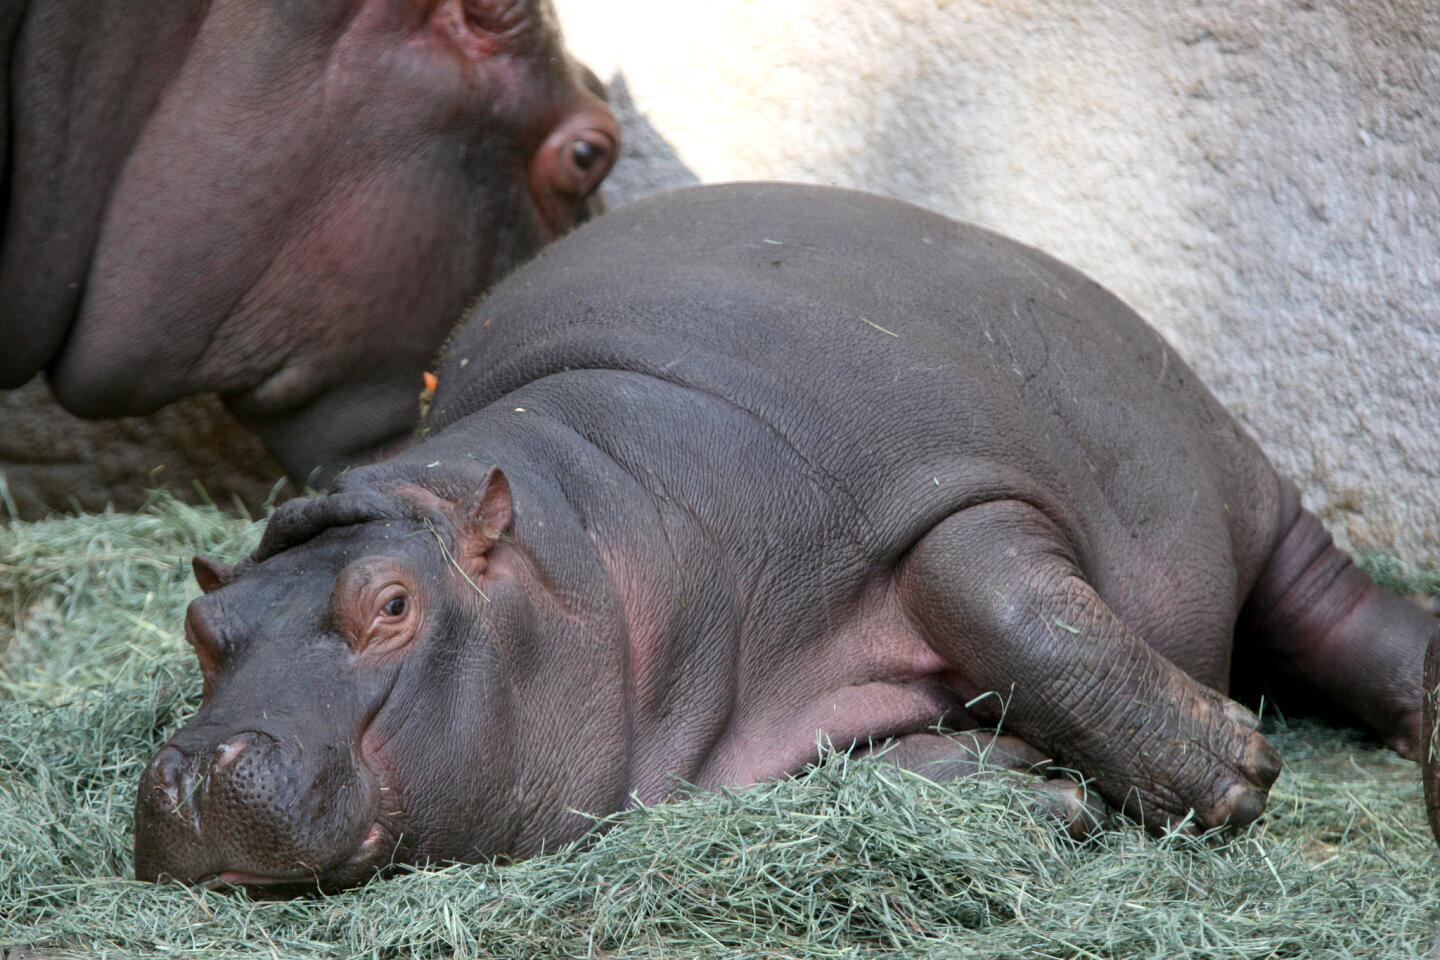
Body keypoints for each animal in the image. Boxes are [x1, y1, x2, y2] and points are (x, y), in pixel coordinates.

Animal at [129, 184, 1434, 892]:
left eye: (392, 604)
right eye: (202, 621)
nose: (188, 771)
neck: (600, 526)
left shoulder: (926, 482)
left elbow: (1018, 613)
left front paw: (1238, 772)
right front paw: (1028, 788)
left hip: (1239, 480)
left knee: (1337, 612)